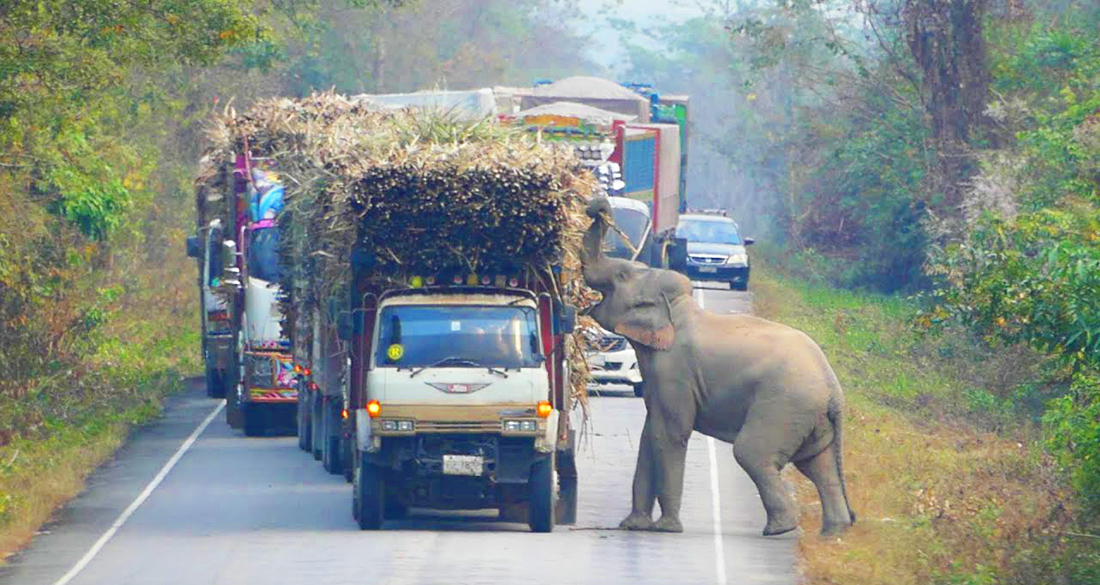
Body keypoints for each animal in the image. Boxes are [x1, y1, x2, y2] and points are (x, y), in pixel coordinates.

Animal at [580, 195, 853, 534]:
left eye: (620, 276)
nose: (596, 206)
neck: (679, 308)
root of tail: (834, 390)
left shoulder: (675, 370)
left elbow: (669, 433)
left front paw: (666, 529)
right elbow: (649, 433)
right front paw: (632, 525)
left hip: (784, 406)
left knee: (752, 453)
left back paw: (780, 528)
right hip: (811, 417)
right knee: (819, 465)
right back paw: (833, 532)